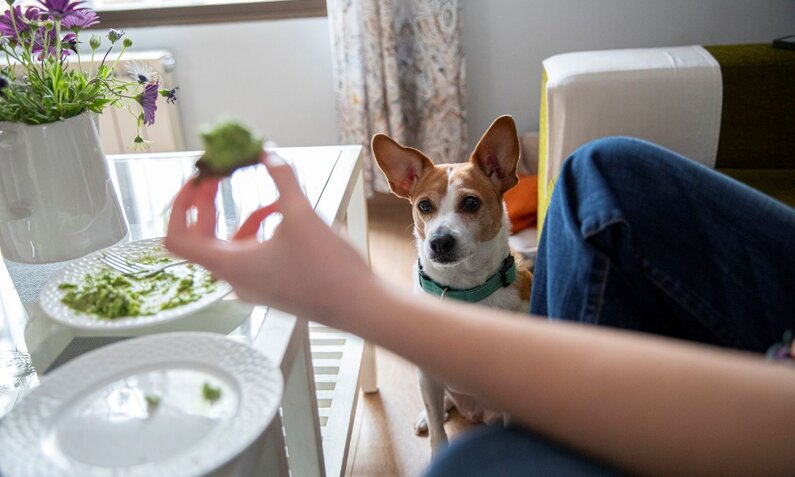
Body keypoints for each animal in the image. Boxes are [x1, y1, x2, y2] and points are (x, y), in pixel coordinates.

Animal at [374, 114, 536, 454]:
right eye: (424, 206)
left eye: (471, 203)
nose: (439, 242)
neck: (464, 290)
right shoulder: (429, 375)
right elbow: (438, 432)